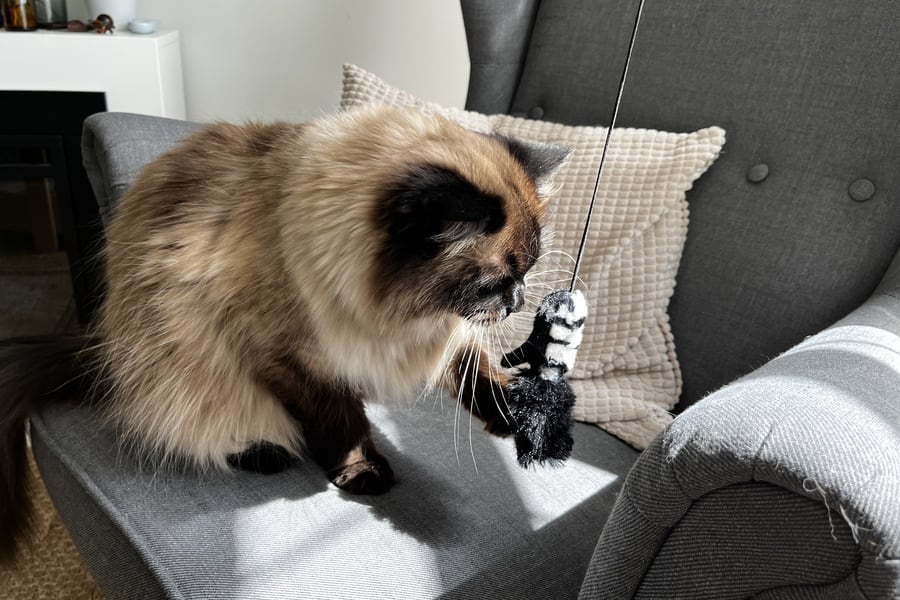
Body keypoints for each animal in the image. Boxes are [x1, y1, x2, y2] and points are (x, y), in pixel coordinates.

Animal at [0, 104, 568, 564]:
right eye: (495, 283)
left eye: (526, 274)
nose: (519, 302)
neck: (400, 319)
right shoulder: (290, 360)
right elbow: (341, 421)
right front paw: (362, 471)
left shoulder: (446, 339)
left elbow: (484, 379)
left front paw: (527, 420)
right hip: (179, 359)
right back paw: (264, 451)